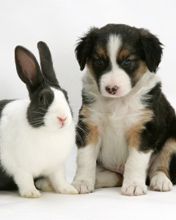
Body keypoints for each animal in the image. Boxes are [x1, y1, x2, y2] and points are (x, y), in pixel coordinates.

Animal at [0, 41, 77, 198]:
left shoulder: (57, 167)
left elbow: (59, 179)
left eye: (66, 95)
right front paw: (31, 193)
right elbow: (25, 180)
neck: (49, 133)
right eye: (43, 99)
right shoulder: (20, 168)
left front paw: (68, 190)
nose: (63, 118)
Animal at [72, 24, 176, 196]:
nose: (111, 88)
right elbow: (85, 158)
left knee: (161, 166)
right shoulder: (90, 125)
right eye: (99, 61)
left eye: (128, 61)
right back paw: (96, 180)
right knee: (115, 177)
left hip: (173, 140)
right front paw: (81, 182)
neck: (117, 102)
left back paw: (160, 181)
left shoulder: (143, 129)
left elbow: (135, 161)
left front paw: (133, 185)